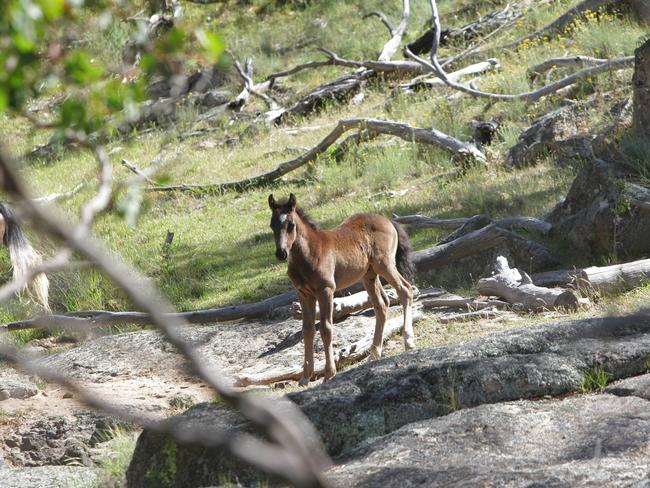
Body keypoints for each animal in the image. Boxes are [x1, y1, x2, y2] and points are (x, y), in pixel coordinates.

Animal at [268, 193, 416, 384]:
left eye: (291, 225)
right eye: (272, 225)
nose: (281, 253)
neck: (308, 254)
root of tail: (388, 220)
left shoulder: (326, 290)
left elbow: (326, 328)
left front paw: (329, 373)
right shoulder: (304, 294)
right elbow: (307, 330)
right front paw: (305, 377)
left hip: (385, 264)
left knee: (405, 290)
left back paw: (408, 341)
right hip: (369, 275)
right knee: (382, 304)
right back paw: (374, 353)